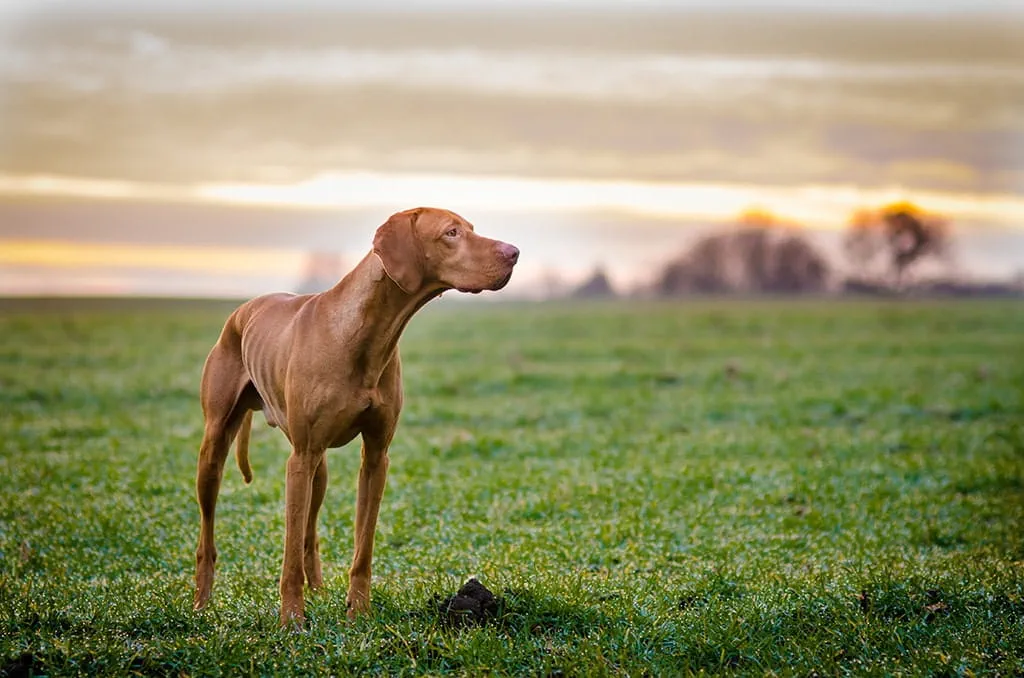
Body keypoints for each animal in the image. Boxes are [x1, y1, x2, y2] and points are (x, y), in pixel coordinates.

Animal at [193, 206, 520, 626]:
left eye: (471, 229)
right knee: (209, 533)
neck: (366, 332)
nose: (514, 253)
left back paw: (317, 589)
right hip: (216, 451)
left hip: (318, 471)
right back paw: (202, 602)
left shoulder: (376, 458)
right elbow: (288, 557)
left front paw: (358, 611)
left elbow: (362, 547)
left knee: (310, 533)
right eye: (451, 233)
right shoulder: (299, 460)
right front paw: (292, 621)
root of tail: (242, 310)